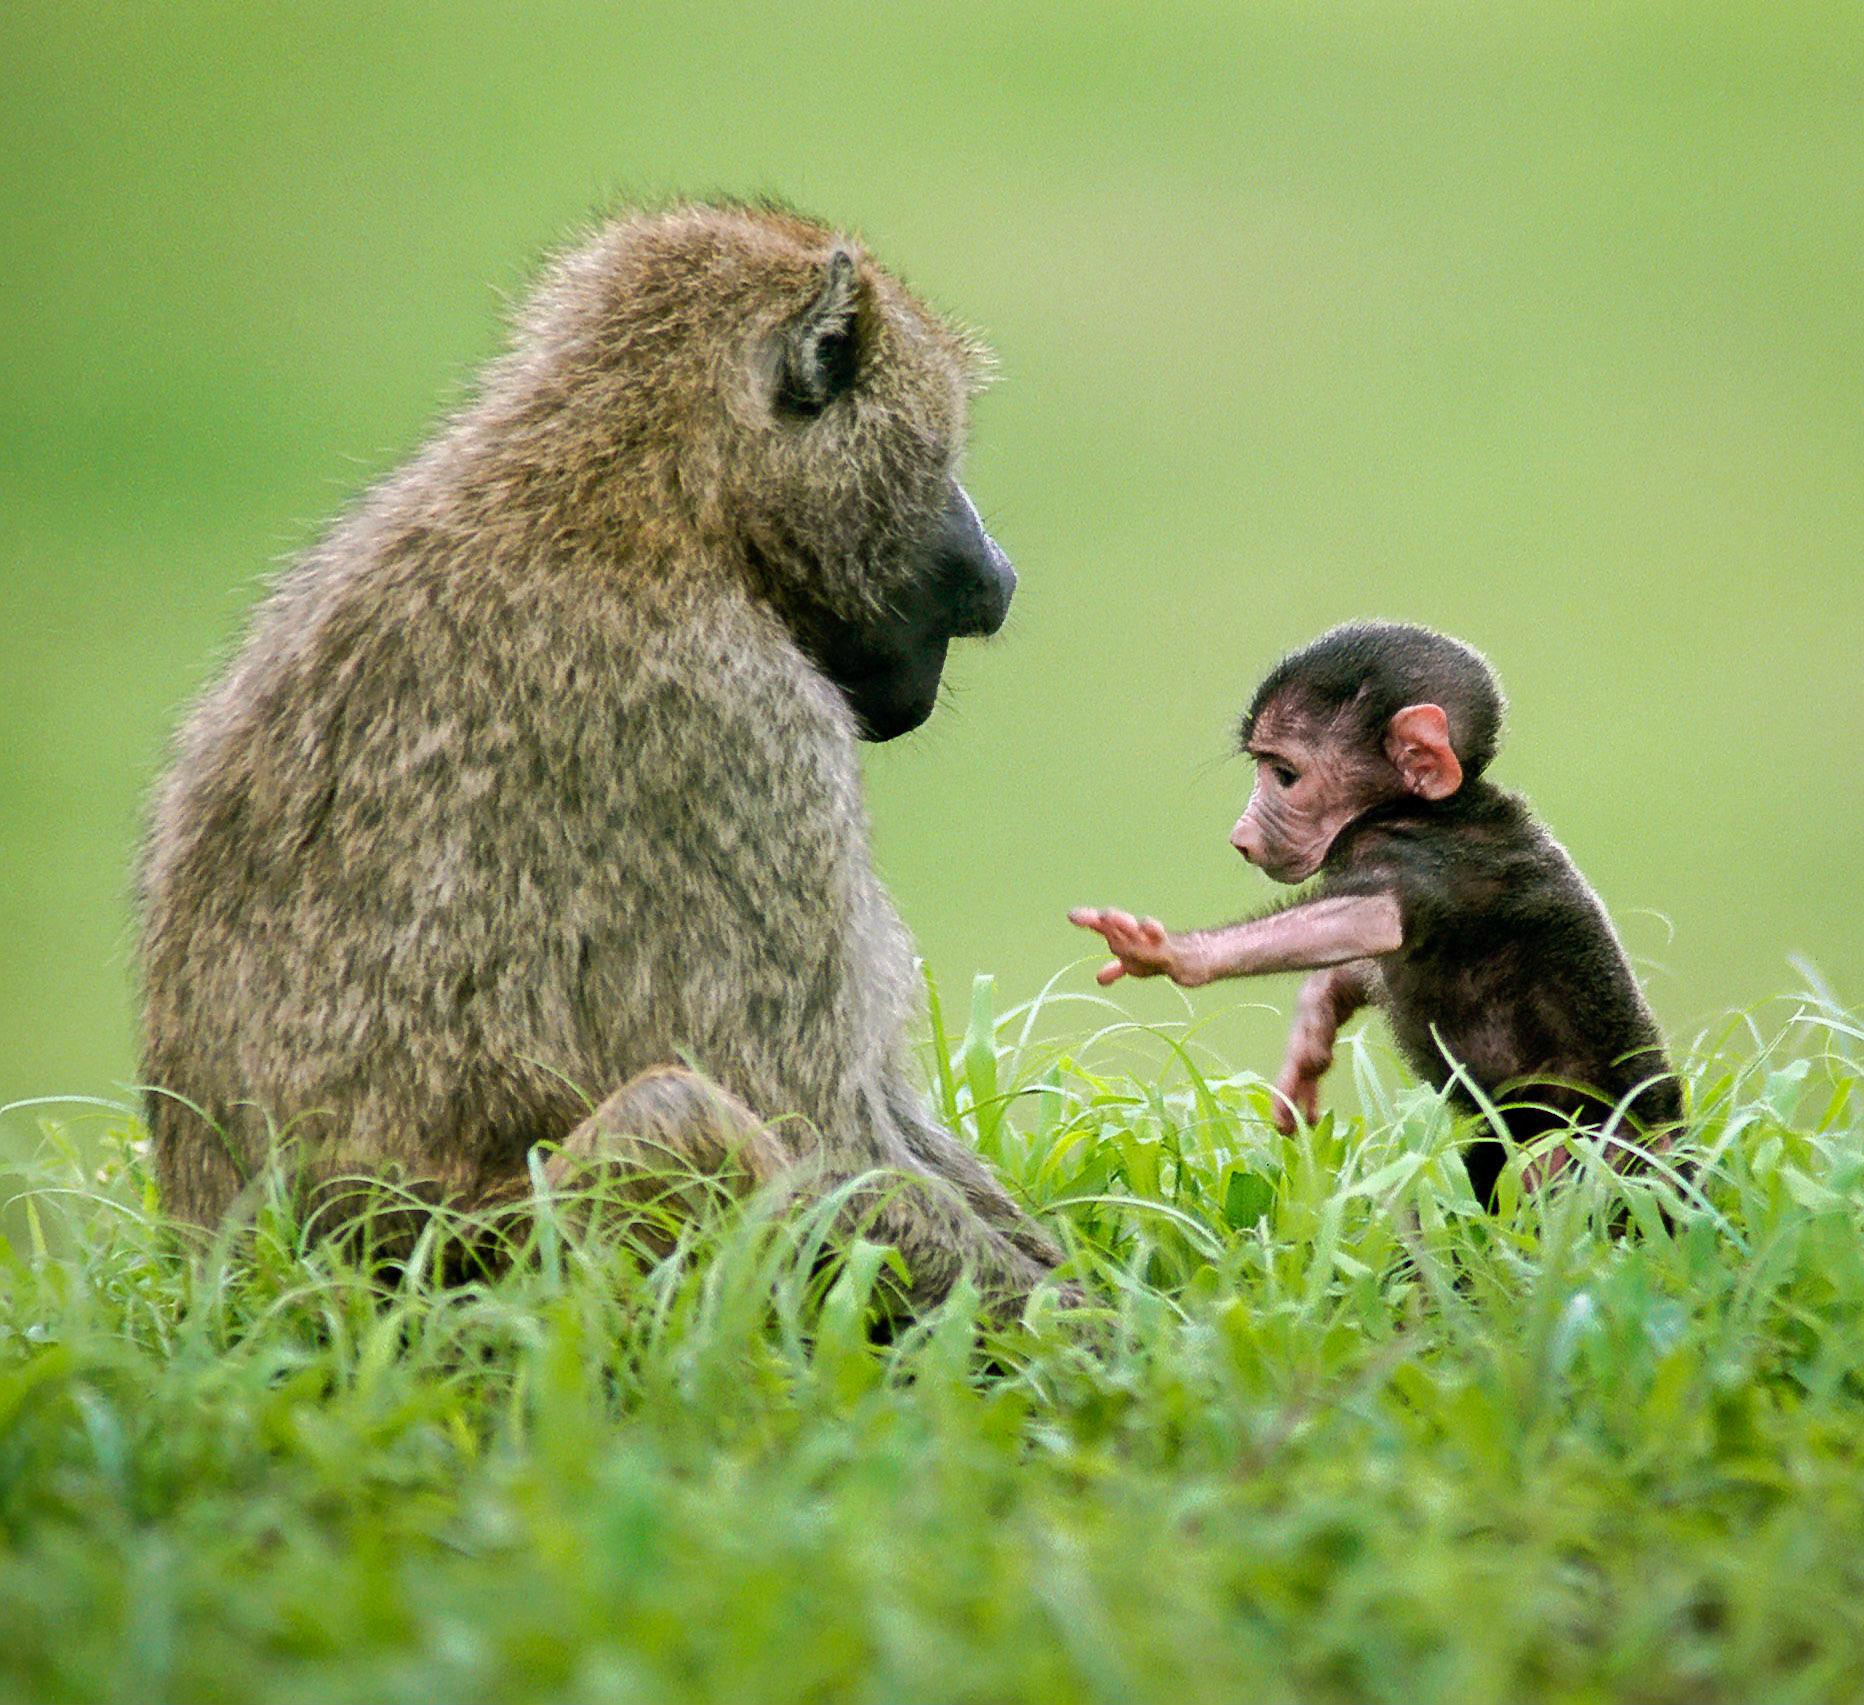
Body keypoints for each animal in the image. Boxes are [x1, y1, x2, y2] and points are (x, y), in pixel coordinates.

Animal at [137, 200, 1071, 1318]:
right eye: (941, 457)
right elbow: (820, 1129)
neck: (655, 500)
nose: (1000, 573)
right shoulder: (735, 727)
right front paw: (1096, 1333)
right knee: (673, 1117)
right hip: (461, 1281)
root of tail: (230, 1283)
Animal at [1070, 620, 1681, 1210]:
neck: (1425, 807)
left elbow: (1370, 920)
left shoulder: (1414, 854)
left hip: (1600, 1155)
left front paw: (1170, 953)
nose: (1241, 838)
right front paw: (1309, 1041)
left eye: (1284, 775)